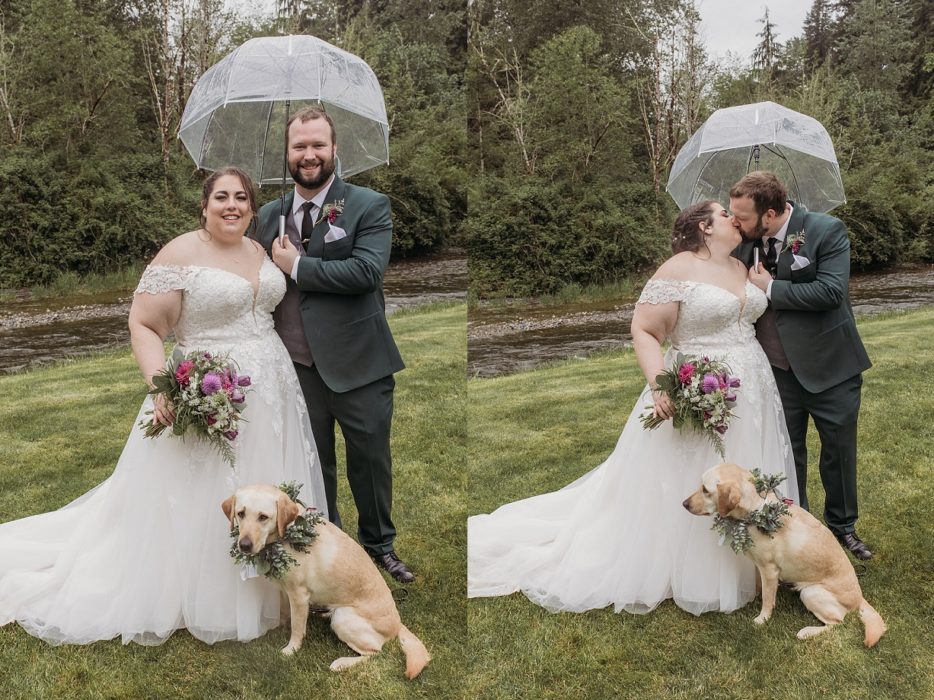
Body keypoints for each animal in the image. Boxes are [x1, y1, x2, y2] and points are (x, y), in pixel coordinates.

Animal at [223, 484, 432, 676]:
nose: (244, 545)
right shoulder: (286, 590)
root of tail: (398, 625)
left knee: (375, 652)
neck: (285, 535)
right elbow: (285, 613)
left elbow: (297, 627)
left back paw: (342, 662)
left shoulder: (298, 594)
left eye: (263, 517)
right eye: (241, 514)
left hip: (344, 617)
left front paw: (291, 649)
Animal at [684, 462, 888, 648]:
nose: (684, 504)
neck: (757, 511)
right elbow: (761, 588)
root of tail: (859, 598)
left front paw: (762, 619)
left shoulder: (769, 569)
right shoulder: (760, 567)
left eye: (705, 489)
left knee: (837, 623)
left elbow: (768, 599)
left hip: (811, 592)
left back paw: (807, 632)